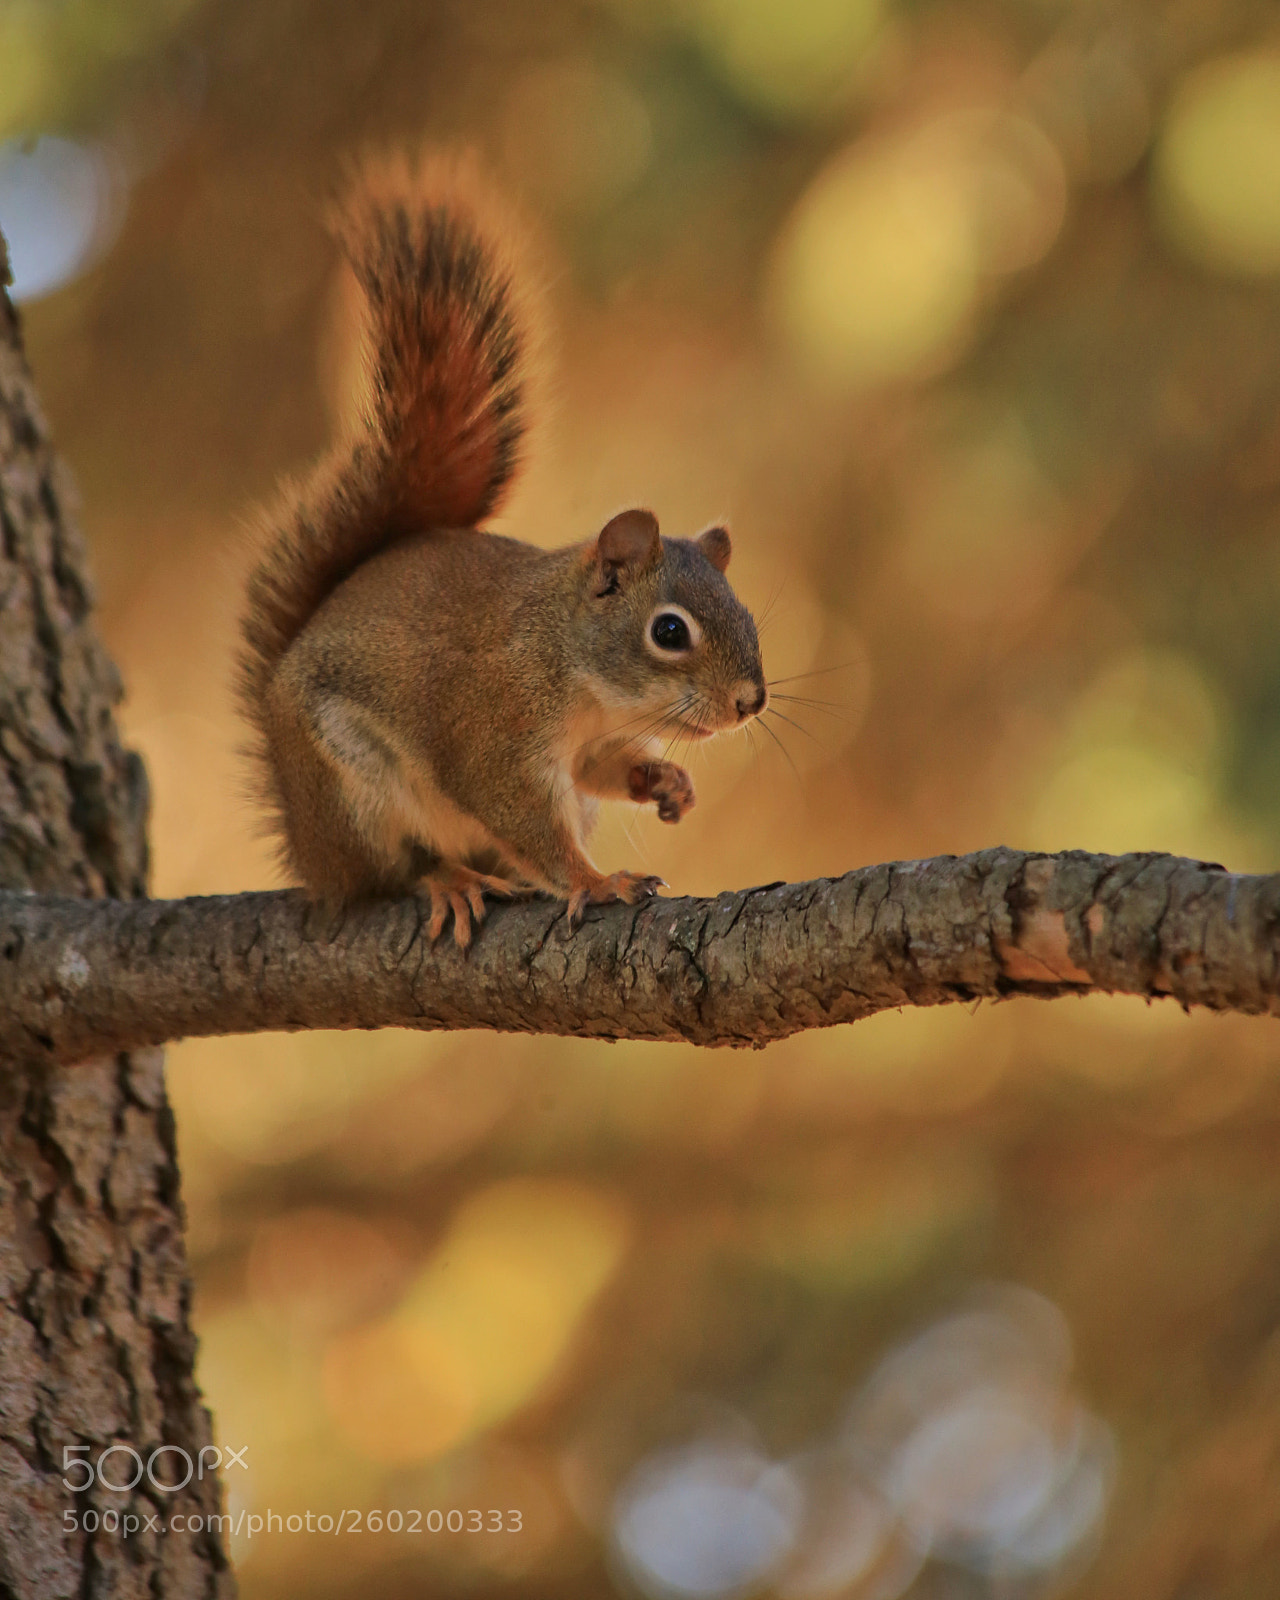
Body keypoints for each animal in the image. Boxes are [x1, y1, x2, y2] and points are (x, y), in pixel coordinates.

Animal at [238, 153, 768, 947]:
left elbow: (600, 773)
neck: (579, 676)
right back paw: (449, 880)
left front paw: (662, 782)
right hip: (352, 791)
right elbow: (524, 818)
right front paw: (596, 881)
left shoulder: (587, 750)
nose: (750, 701)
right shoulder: (494, 731)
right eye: (670, 631)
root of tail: (308, 851)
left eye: (748, 615)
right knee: (389, 874)